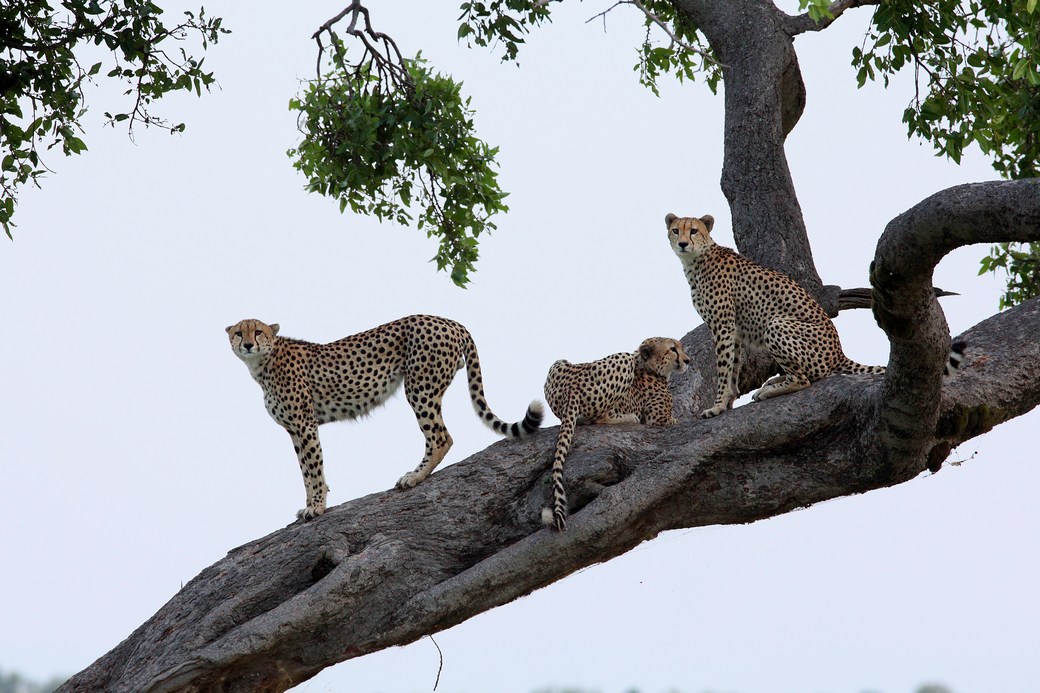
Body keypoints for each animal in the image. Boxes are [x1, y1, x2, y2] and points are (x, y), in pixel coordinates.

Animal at [223, 312, 540, 518]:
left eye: (258, 331)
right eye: (239, 332)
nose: (247, 344)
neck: (262, 363)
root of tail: (448, 320)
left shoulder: (304, 424)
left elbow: (313, 468)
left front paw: (317, 507)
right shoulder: (295, 430)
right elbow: (305, 470)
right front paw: (313, 502)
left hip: (420, 387)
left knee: (441, 437)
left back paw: (414, 476)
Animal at [536, 337, 690, 530]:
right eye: (672, 349)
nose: (687, 361)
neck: (648, 366)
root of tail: (570, 388)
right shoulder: (659, 420)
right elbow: (682, 421)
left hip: (558, 363)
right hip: (622, 360)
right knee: (599, 418)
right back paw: (629, 418)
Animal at [669, 210, 960, 416]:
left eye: (693, 230)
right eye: (675, 230)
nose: (682, 243)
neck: (697, 259)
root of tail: (839, 352)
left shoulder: (724, 326)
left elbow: (723, 367)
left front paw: (717, 406)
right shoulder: (734, 330)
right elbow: (733, 367)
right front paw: (727, 401)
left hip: (777, 324)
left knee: (806, 379)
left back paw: (773, 389)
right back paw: (775, 381)